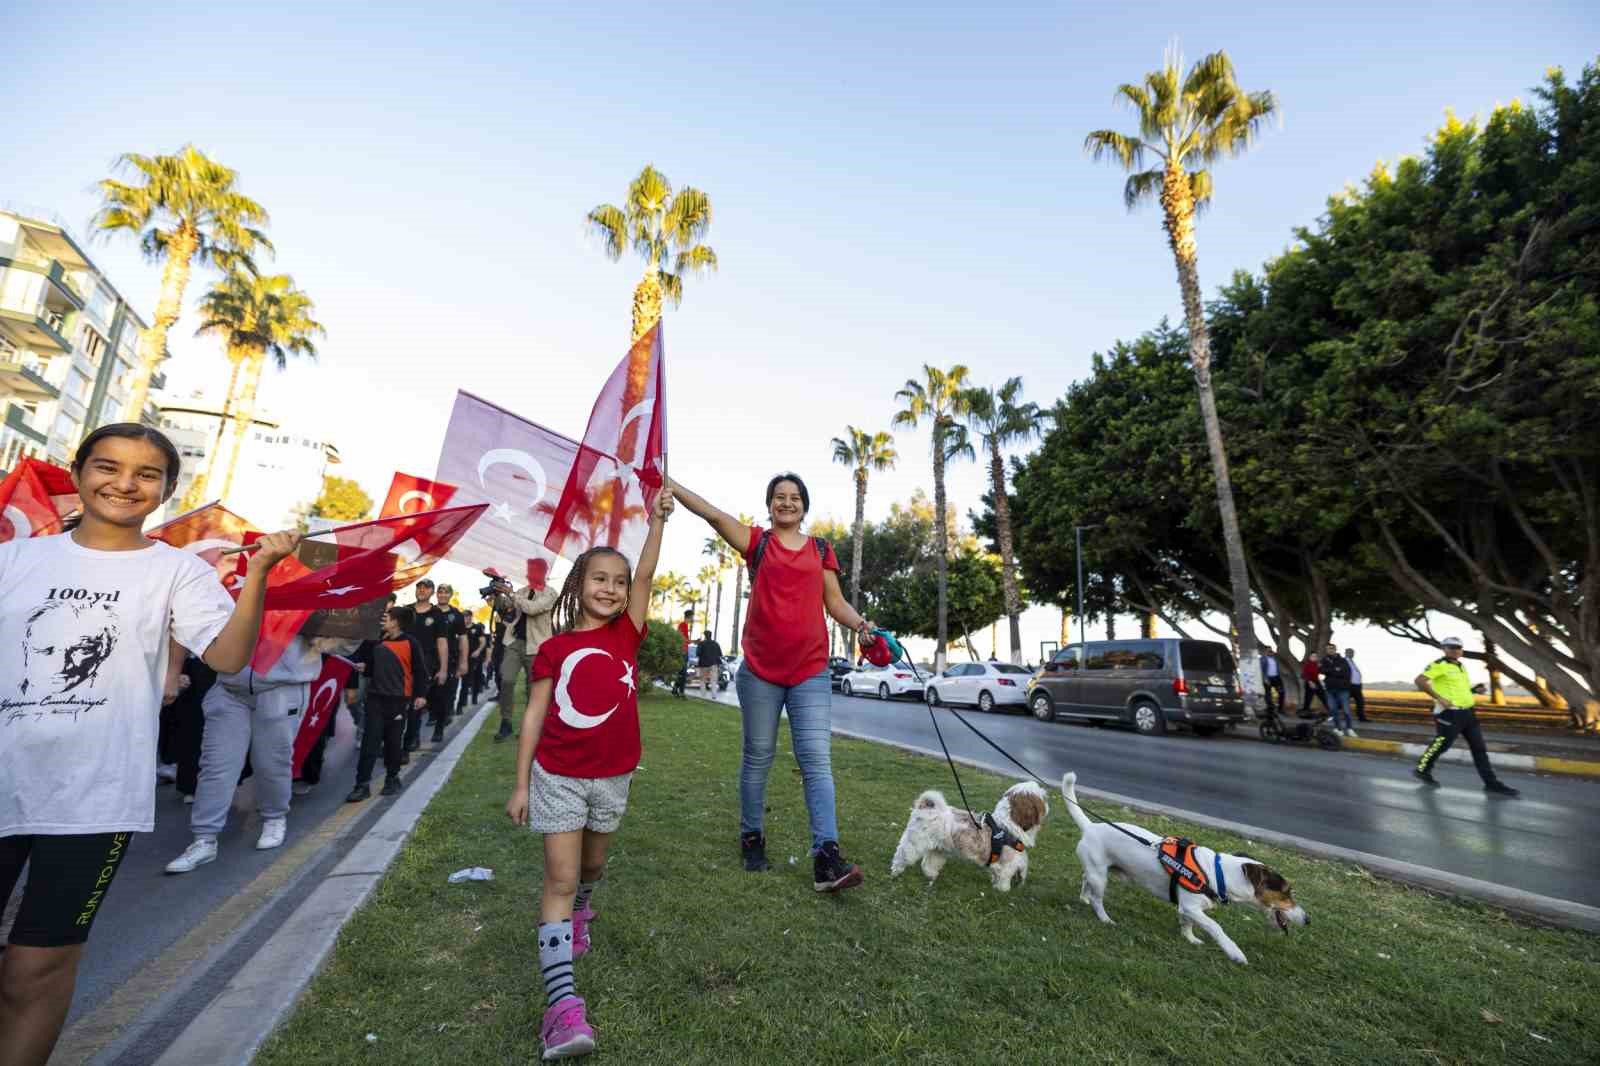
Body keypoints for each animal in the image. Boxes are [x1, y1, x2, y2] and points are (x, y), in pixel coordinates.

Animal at [889, 781, 1049, 889]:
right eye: (1043, 798)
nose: (1047, 804)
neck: (1006, 825)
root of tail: (927, 807)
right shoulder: (1006, 865)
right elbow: (1004, 881)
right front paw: (1002, 892)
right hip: (914, 844)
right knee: (901, 855)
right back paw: (896, 872)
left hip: (938, 849)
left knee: (928, 863)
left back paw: (931, 876)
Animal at [1056, 768, 1305, 960]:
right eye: (1286, 892)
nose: (1308, 919)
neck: (1218, 873)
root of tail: (1090, 826)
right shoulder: (1191, 906)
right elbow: (1215, 927)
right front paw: (1234, 952)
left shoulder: (1188, 908)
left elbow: (1187, 924)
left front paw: (1190, 938)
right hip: (1100, 876)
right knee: (1098, 899)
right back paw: (1104, 918)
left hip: (1097, 871)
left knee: (1085, 879)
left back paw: (1084, 897)